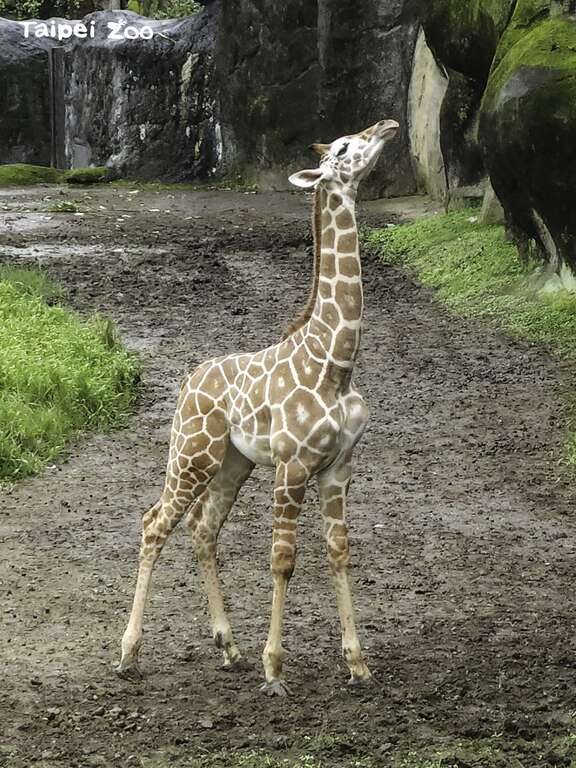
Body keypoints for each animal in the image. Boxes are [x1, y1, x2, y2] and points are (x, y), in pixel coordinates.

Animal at [117, 118, 400, 695]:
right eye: (343, 147)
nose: (387, 125)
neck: (336, 361)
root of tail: (187, 381)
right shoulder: (292, 466)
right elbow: (283, 559)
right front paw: (275, 668)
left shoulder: (339, 465)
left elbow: (339, 550)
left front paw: (357, 663)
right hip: (192, 454)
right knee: (155, 523)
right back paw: (129, 653)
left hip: (232, 463)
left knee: (202, 530)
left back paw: (229, 647)